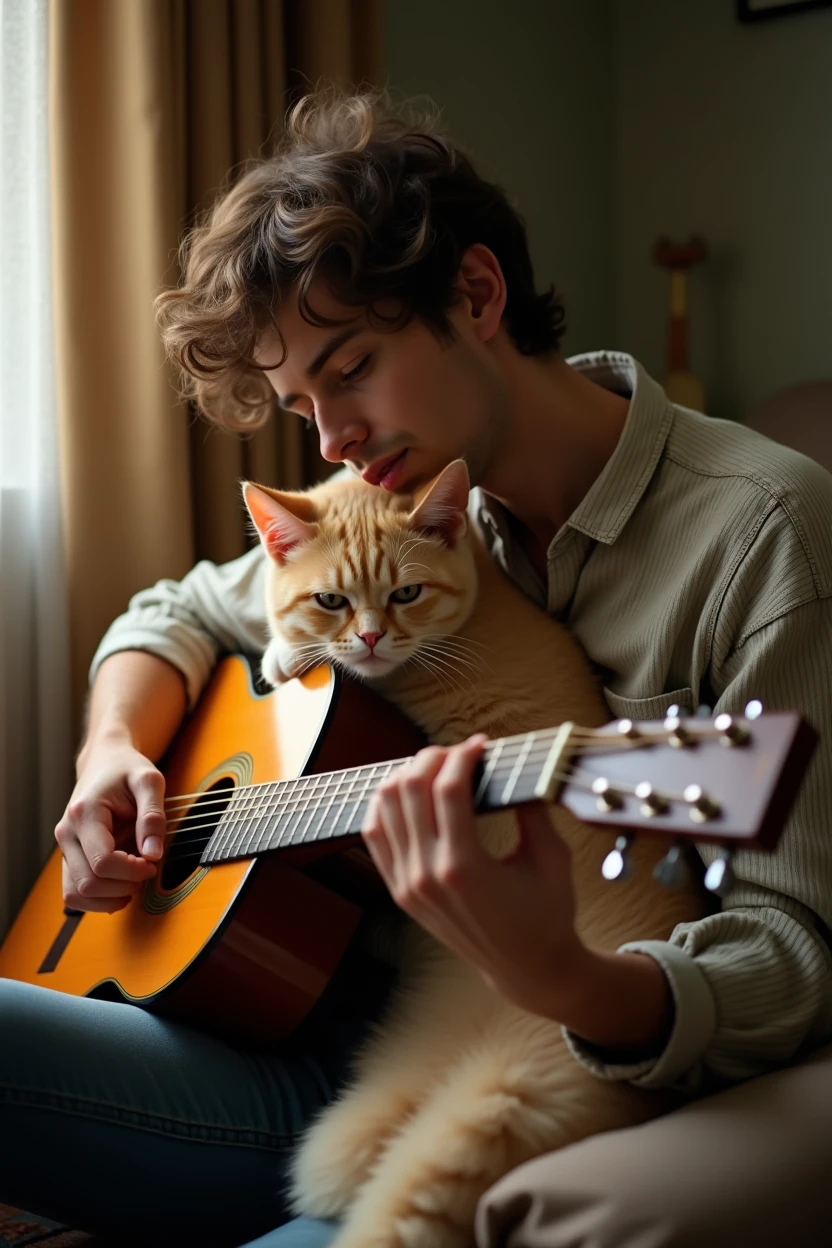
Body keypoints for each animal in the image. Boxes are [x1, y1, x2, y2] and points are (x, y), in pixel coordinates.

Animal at [245, 461, 703, 1248]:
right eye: (332, 599)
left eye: (406, 593)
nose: (372, 638)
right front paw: (288, 645)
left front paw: (288, 653)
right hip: (386, 1078)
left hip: (499, 1101)